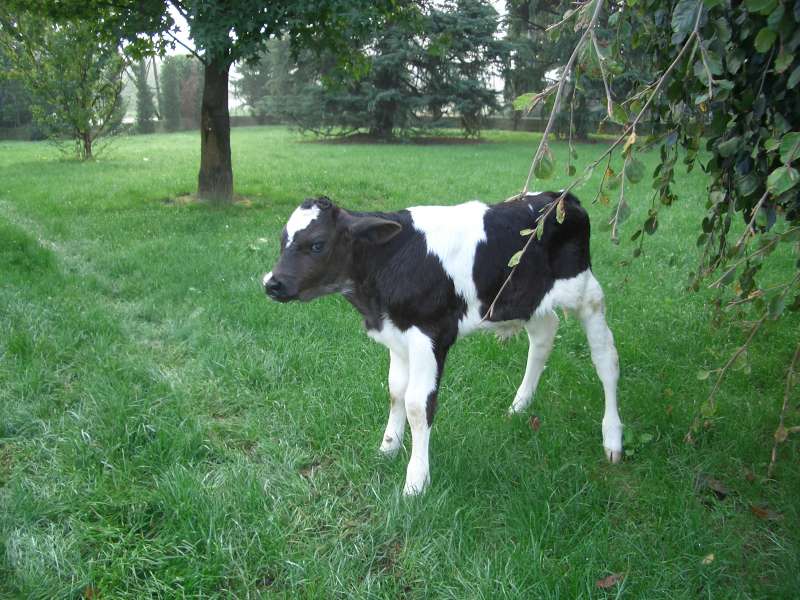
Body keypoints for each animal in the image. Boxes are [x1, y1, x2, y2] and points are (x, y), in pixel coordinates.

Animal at [266, 195, 620, 494]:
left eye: (317, 244)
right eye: (283, 241)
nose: (272, 283)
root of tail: (561, 197)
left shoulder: (430, 334)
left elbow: (417, 404)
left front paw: (415, 482)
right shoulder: (397, 335)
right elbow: (395, 392)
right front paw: (388, 448)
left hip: (585, 292)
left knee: (607, 359)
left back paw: (613, 437)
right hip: (527, 299)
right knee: (545, 336)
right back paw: (520, 405)